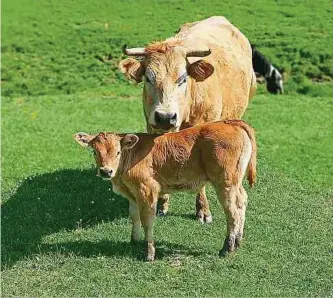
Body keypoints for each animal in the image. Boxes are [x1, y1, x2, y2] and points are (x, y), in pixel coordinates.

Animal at [74, 120, 256, 262]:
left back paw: (227, 247)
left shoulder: (146, 190)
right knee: (242, 202)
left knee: (232, 213)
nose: (106, 171)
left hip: (225, 183)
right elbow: (134, 216)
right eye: (94, 151)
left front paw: (149, 253)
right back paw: (238, 241)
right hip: (235, 182)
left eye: (118, 152)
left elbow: (147, 220)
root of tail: (229, 122)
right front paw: (134, 240)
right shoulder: (132, 194)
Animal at [119, 15, 256, 222]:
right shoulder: (152, 128)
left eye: (183, 78)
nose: (165, 117)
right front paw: (161, 204)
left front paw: (203, 210)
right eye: (148, 79)